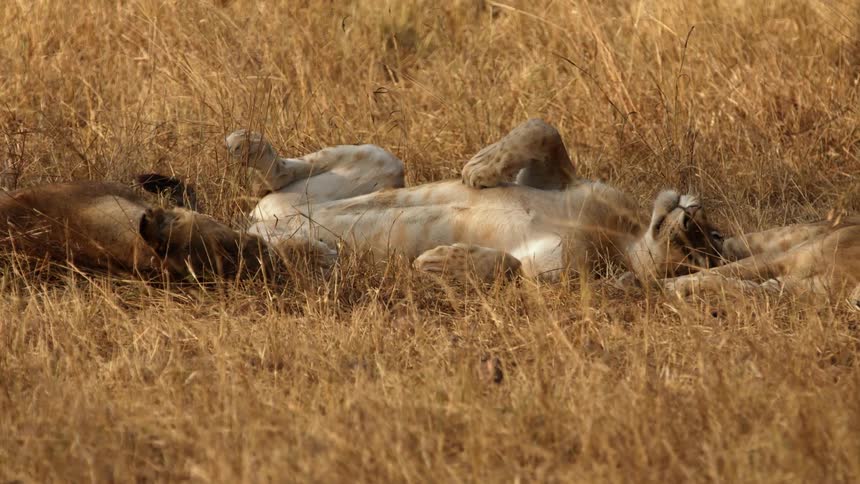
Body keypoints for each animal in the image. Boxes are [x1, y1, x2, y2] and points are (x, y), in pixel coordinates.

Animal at [225, 119, 726, 284]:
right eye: (714, 234)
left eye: (705, 249)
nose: (691, 214)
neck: (623, 233)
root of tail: (261, 224)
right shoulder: (553, 180)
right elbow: (543, 130)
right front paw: (479, 168)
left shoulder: (558, 273)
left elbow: (509, 268)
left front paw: (439, 264)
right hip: (380, 165)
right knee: (282, 176)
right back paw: (247, 146)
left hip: (290, 242)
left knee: (287, 256)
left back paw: (309, 249)